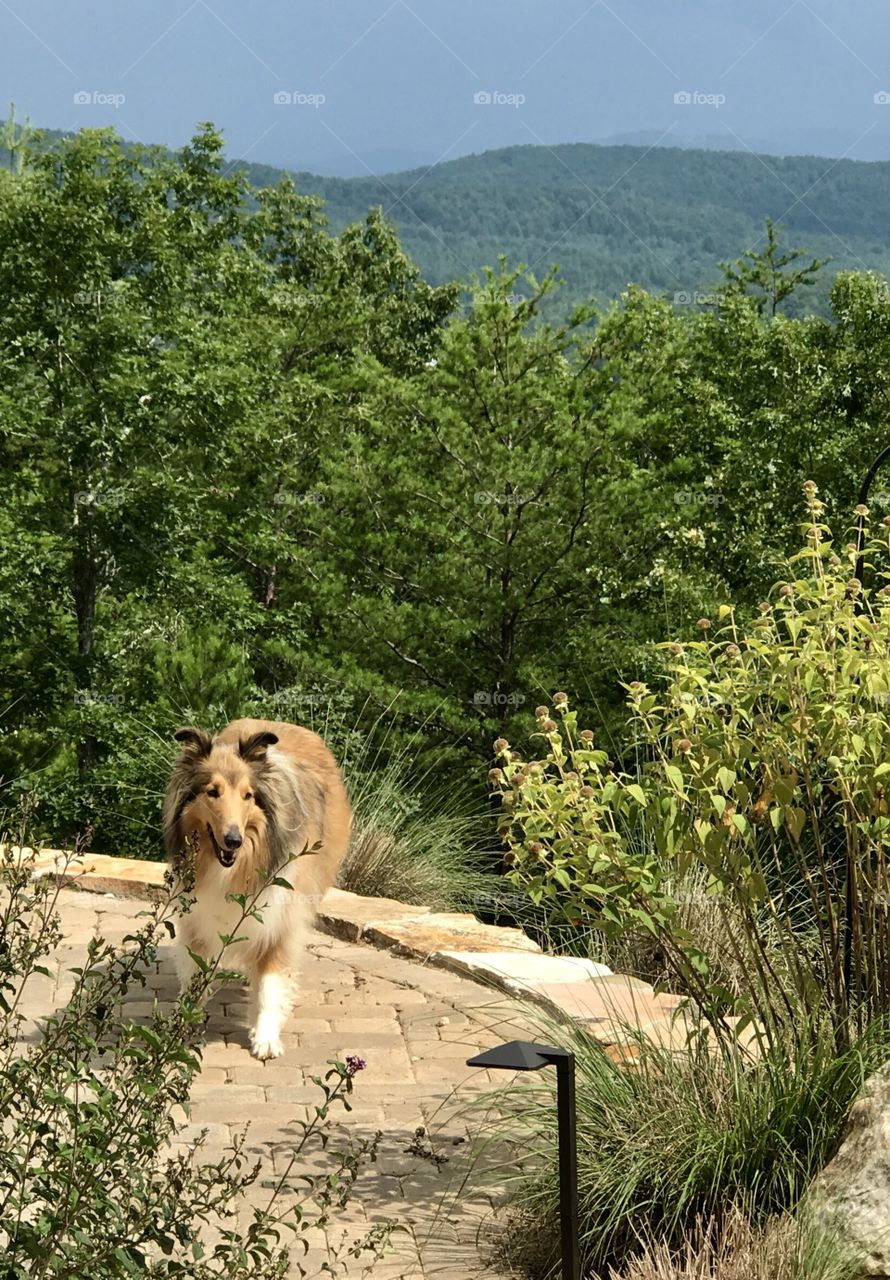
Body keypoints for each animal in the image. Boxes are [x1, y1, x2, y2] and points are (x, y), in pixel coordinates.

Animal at [163, 721, 350, 1059]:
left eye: (248, 795)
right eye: (212, 791)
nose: (233, 840)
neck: (233, 868)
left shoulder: (281, 920)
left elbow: (269, 986)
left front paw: (265, 1038)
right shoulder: (198, 917)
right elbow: (193, 975)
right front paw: (180, 1026)